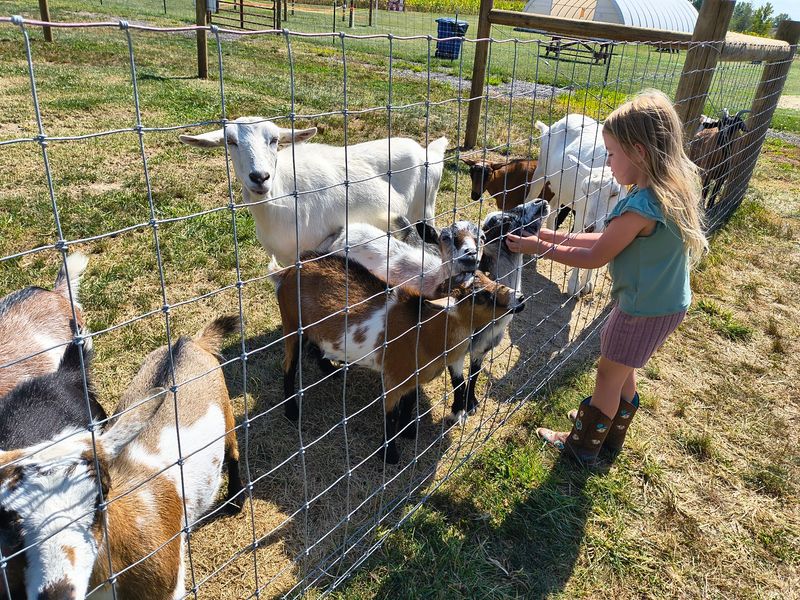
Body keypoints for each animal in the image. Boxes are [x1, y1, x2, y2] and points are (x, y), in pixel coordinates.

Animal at [269, 256, 524, 464]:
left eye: (489, 278)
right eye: (482, 296)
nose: (520, 298)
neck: (424, 330)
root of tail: (286, 272)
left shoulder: (412, 376)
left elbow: (410, 401)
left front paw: (409, 431)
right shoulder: (393, 376)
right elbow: (390, 415)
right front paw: (390, 455)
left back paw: (330, 369)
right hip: (292, 324)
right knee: (288, 366)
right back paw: (292, 412)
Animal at [447, 198, 550, 424]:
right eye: (503, 220)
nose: (541, 201)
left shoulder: (483, 346)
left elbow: (474, 375)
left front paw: (472, 403)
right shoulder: (453, 349)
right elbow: (458, 381)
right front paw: (459, 411)